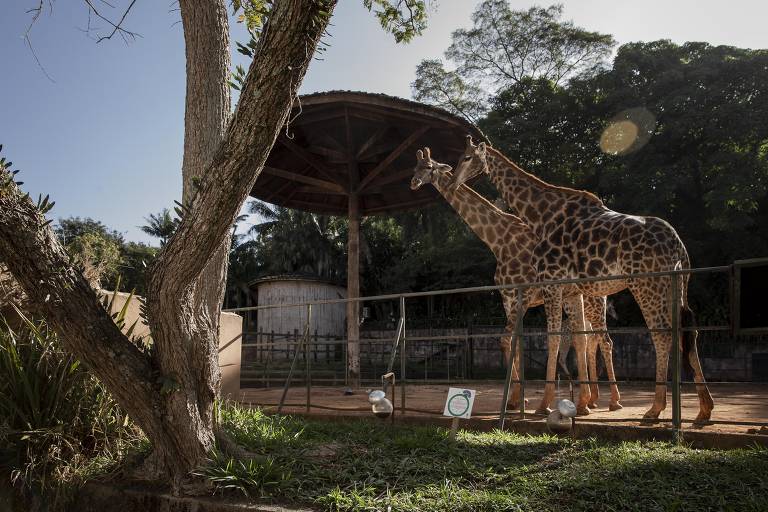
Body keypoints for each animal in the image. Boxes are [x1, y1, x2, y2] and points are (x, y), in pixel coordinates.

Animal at [412, 149, 620, 416]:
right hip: (575, 298)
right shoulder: (508, 298)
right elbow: (515, 343)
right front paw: (516, 400)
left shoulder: (523, 295)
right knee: (586, 339)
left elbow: (506, 340)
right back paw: (591, 400)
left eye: (428, 166)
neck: (498, 240)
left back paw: (612, 400)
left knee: (603, 340)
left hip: (595, 299)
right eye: (414, 166)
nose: (413, 182)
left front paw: (518, 401)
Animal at [450, 134, 712, 422]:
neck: (541, 216)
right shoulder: (572, 290)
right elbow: (578, 339)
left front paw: (544, 405)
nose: (452, 182)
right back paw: (703, 409)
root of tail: (678, 246)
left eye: (466, 157)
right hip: (676, 284)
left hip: (646, 284)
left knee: (662, 334)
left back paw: (655, 408)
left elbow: (553, 338)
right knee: (687, 330)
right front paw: (581, 402)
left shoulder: (551, 284)